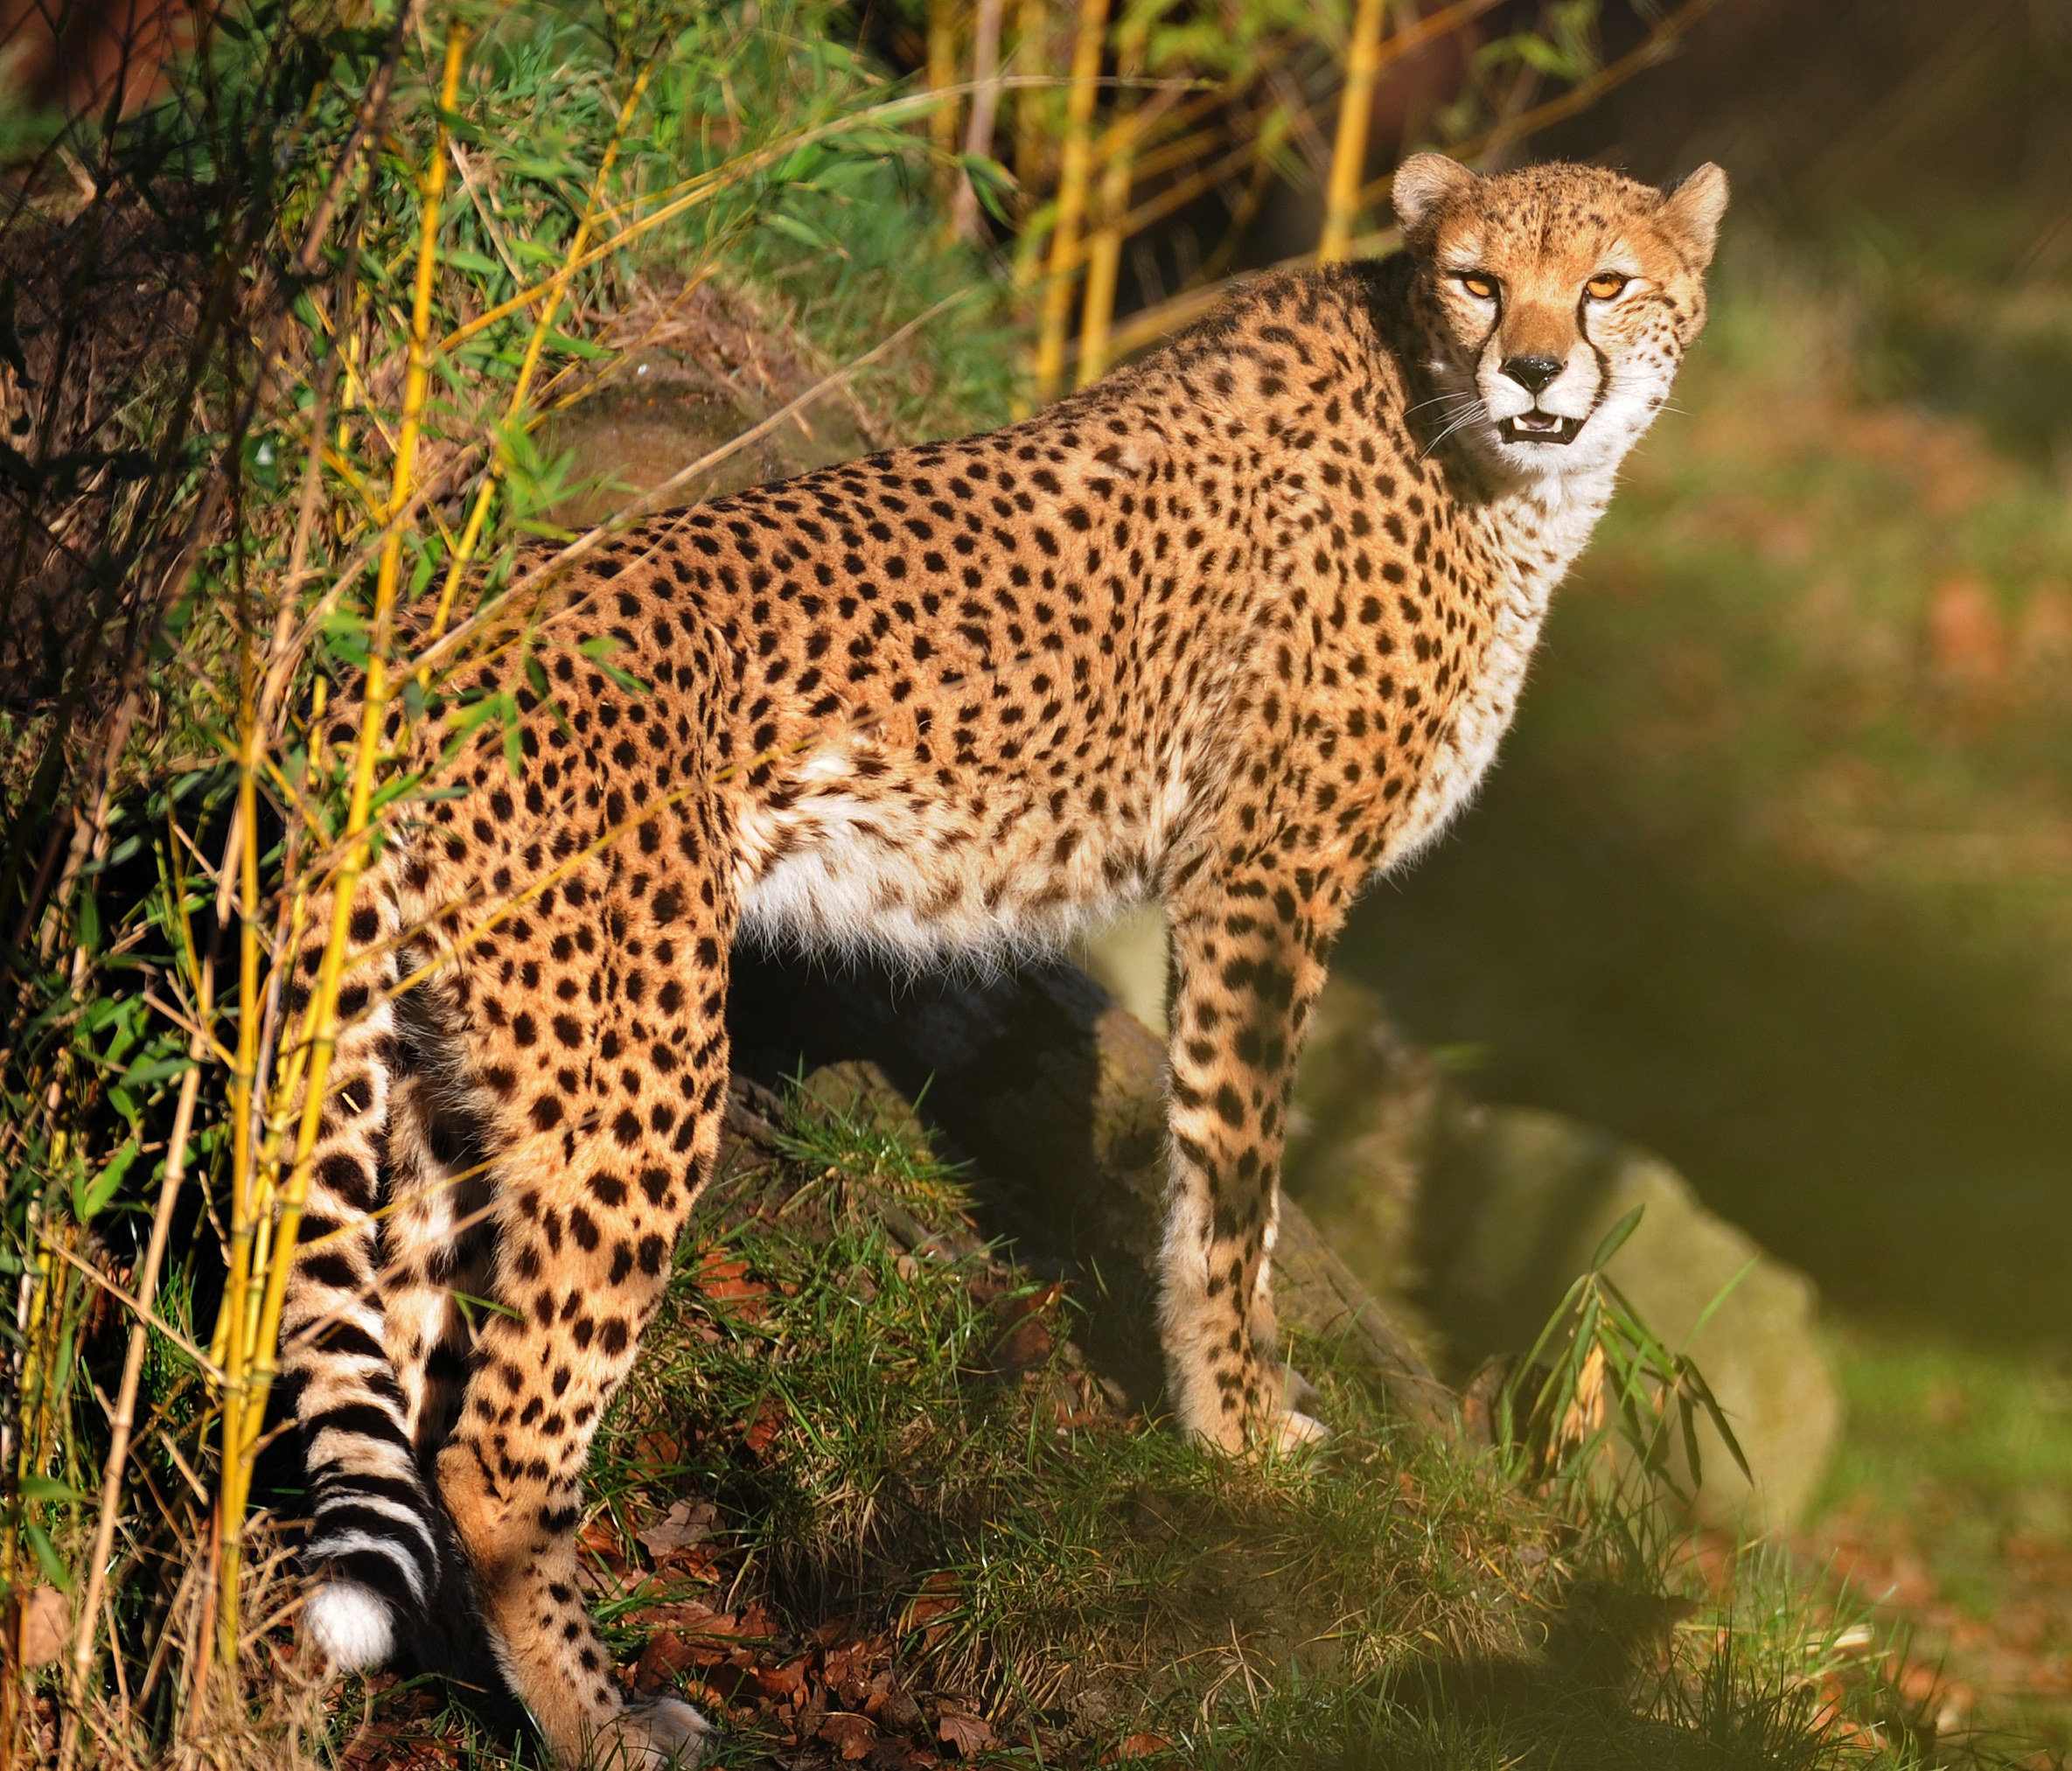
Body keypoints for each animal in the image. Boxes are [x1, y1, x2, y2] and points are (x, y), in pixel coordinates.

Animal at [278, 151, 1728, 1766]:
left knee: (400, 1383)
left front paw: (1247, 1403)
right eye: (1479, 280)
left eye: (1604, 284)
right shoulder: (1258, 878)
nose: (1534, 368)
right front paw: (1236, 1432)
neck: (1481, 456)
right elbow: (1233, 1182)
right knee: (499, 1447)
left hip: (439, 1070)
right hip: (634, 1075)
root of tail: (428, 650)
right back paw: (610, 1722)